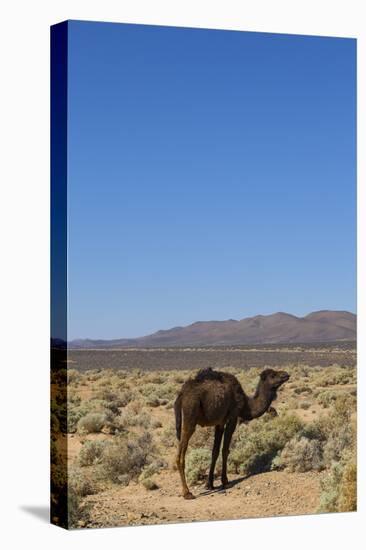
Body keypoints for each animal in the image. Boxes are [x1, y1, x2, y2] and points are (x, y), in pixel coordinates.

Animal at [173, 368, 290, 502]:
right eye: (273, 375)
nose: (286, 374)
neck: (246, 404)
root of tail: (181, 395)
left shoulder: (220, 423)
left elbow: (215, 451)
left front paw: (209, 484)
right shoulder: (233, 417)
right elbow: (225, 450)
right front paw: (225, 481)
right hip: (190, 414)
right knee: (180, 454)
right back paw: (187, 493)